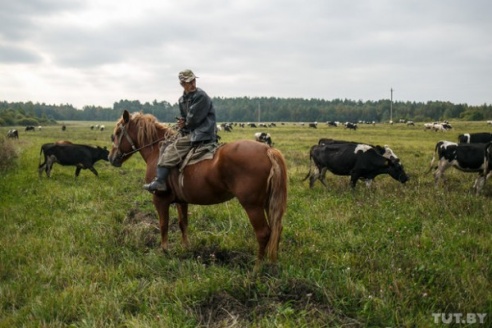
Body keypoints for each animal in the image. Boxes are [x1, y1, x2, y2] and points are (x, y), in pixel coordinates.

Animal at [109, 111, 286, 264]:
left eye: (117, 133)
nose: (111, 158)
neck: (158, 151)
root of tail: (268, 150)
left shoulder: (160, 200)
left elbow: (163, 225)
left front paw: (164, 250)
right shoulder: (181, 200)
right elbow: (183, 223)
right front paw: (186, 248)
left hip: (252, 206)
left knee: (263, 233)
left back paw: (257, 268)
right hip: (267, 204)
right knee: (276, 230)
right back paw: (272, 263)